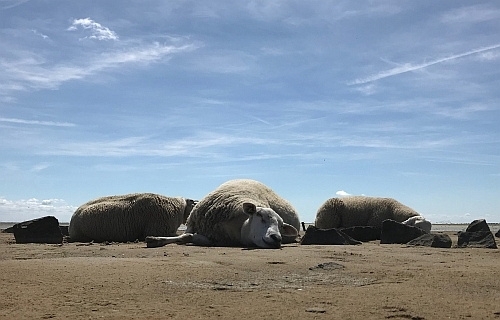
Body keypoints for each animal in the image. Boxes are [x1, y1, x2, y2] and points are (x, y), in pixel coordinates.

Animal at [146, 179, 300, 249]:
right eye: (260, 216)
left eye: (281, 226)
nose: (277, 238)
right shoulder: (193, 223)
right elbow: (184, 235)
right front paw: (156, 239)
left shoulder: (216, 240)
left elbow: (189, 237)